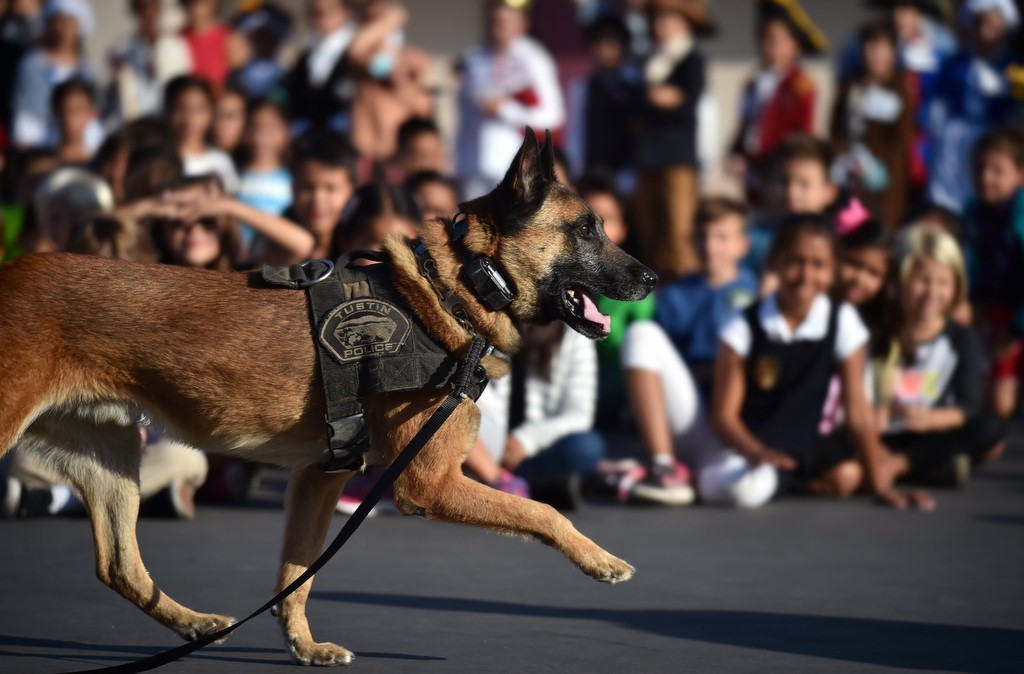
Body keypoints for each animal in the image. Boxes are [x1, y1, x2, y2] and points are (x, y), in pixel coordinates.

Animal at [0, 128, 655, 663]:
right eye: (586, 228)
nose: (651, 278)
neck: (456, 287)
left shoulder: (320, 475)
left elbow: (298, 574)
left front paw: (304, 647)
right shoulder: (428, 484)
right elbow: (541, 510)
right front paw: (600, 560)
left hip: (111, 455)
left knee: (118, 566)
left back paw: (196, 624)